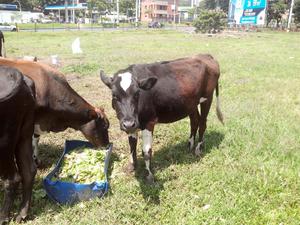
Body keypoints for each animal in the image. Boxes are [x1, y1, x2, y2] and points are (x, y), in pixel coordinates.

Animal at [100, 54, 223, 183]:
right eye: (114, 95)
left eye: (137, 94)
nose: (128, 123)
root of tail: (206, 55)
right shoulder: (132, 125)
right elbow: (132, 145)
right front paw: (132, 166)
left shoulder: (148, 122)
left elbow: (146, 151)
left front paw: (149, 175)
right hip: (191, 103)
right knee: (194, 121)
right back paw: (190, 145)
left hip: (207, 98)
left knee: (203, 123)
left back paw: (198, 148)